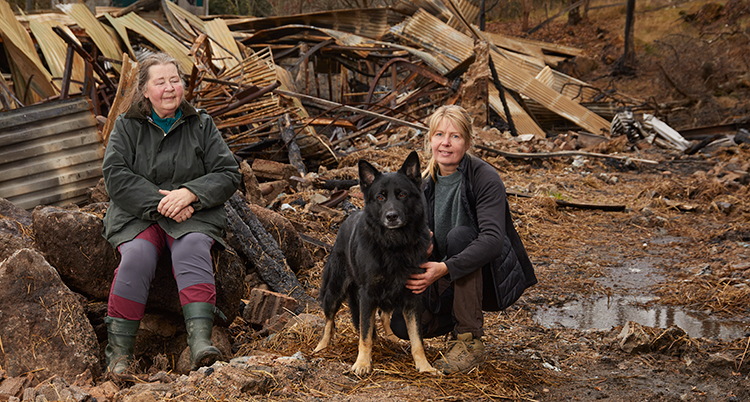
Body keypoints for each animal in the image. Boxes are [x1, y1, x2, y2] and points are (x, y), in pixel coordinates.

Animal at [312, 151, 440, 376]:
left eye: (402, 195)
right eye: (380, 197)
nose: (391, 216)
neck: (394, 246)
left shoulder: (412, 296)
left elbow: (417, 338)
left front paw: (424, 366)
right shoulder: (367, 295)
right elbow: (364, 334)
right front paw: (362, 363)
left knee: (384, 315)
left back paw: (391, 337)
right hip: (335, 289)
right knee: (329, 319)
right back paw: (322, 345)